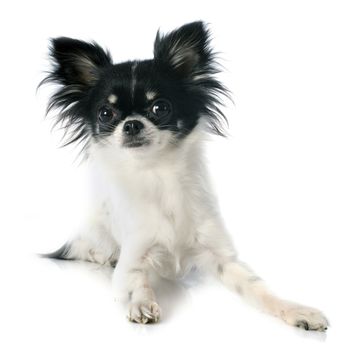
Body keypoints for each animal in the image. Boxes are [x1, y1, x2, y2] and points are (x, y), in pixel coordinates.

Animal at [41, 20, 328, 330]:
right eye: (106, 113)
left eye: (160, 107)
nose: (131, 124)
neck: (158, 174)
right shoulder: (133, 258)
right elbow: (137, 280)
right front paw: (142, 303)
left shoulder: (221, 256)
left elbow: (257, 288)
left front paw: (296, 310)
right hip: (96, 233)